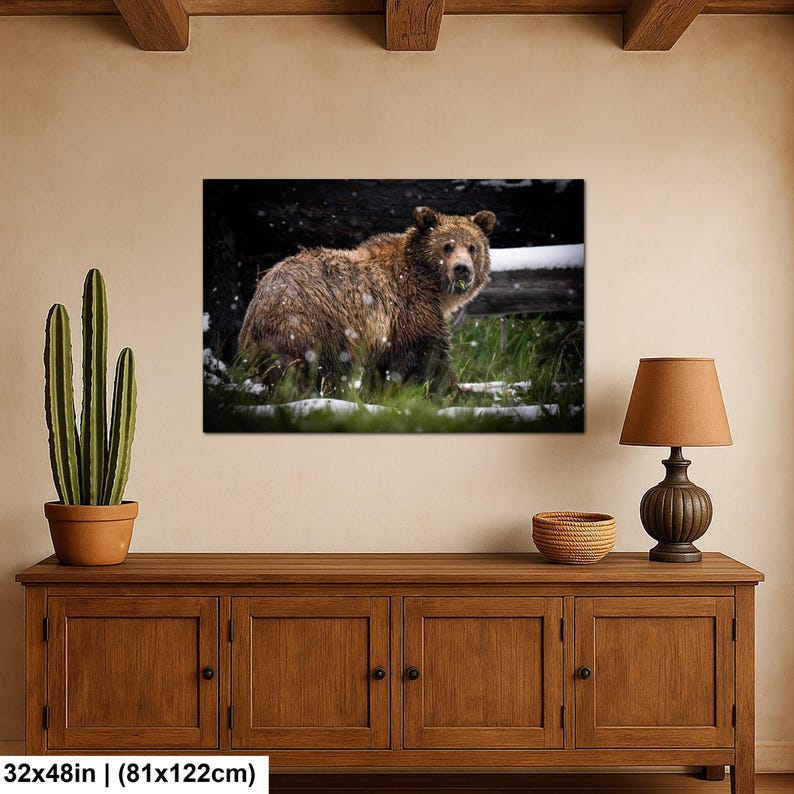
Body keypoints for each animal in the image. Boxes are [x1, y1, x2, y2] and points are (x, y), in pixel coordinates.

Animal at [238, 205, 496, 396]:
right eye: (447, 246)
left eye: (472, 247)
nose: (462, 269)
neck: (432, 285)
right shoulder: (410, 307)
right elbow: (429, 356)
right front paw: (453, 391)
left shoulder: (387, 331)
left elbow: (383, 368)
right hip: (317, 323)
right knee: (325, 368)